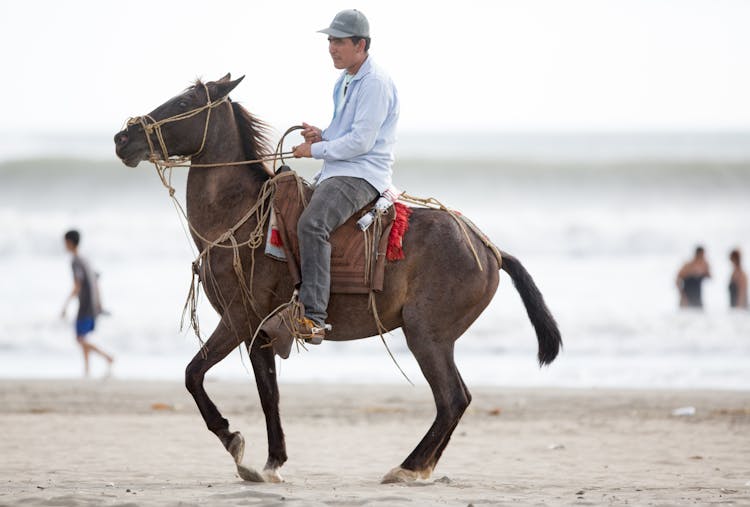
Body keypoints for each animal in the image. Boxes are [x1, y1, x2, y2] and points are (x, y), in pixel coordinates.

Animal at [114, 74, 560, 484]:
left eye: (185, 101)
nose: (123, 137)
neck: (240, 218)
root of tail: (490, 249)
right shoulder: (260, 331)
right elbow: (268, 394)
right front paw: (271, 463)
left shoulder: (239, 319)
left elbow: (193, 375)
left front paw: (232, 439)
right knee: (457, 400)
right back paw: (421, 467)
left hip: (426, 335)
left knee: (451, 399)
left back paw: (407, 466)